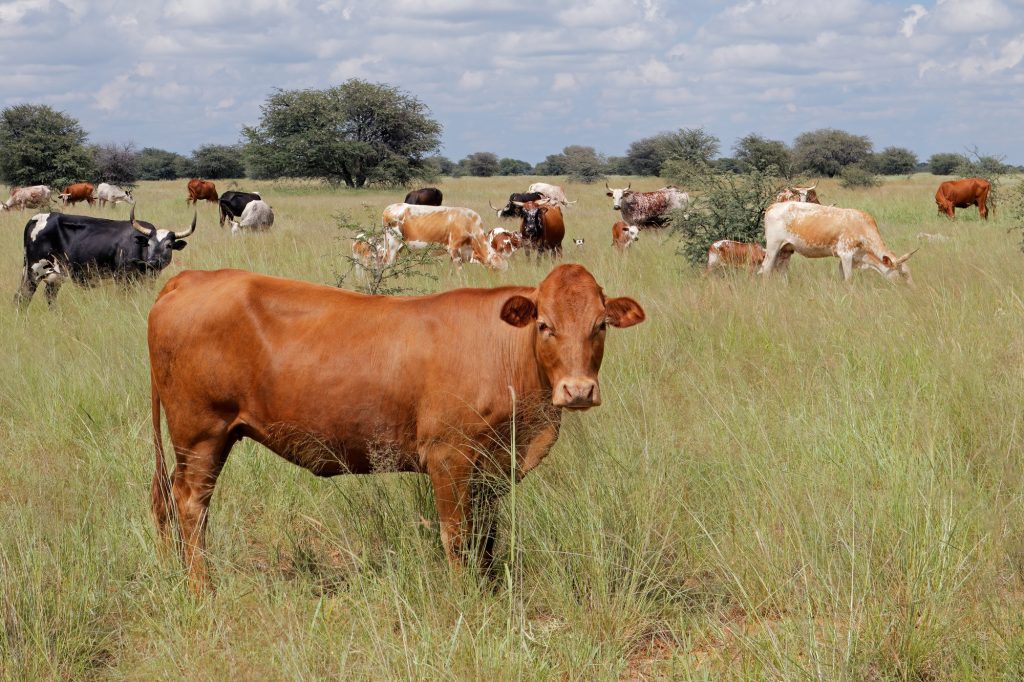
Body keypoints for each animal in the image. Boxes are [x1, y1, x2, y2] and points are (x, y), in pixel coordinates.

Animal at [15, 206, 196, 309]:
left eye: (169, 245)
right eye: (149, 243)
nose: (153, 262)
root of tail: (39, 216)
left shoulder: (147, 280)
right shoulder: (123, 279)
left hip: (56, 275)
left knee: (50, 296)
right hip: (34, 271)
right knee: (22, 297)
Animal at [147, 264, 646, 590]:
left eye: (600, 325)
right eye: (544, 325)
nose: (577, 390)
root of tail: (193, 276)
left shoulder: (492, 466)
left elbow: (487, 535)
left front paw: (488, 591)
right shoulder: (449, 456)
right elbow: (457, 536)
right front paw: (465, 598)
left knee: (167, 498)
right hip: (202, 435)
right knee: (191, 504)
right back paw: (202, 587)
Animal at [759, 202, 916, 284]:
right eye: (903, 274)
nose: (912, 289)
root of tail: (773, 206)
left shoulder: (847, 258)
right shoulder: (846, 254)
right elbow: (849, 279)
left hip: (786, 250)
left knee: (781, 270)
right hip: (773, 247)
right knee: (766, 269)